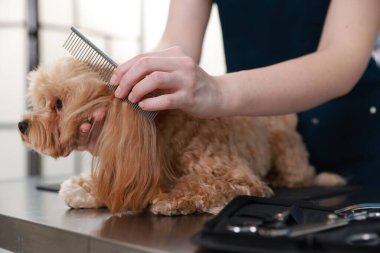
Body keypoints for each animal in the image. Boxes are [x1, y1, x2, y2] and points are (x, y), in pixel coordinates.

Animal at [18, 57, 344, 215]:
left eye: (58, 104)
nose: (22, 125)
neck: (161, 131)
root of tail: (285, 120)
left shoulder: (236, 177)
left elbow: (202, 183)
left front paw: (173, 199)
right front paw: (81, 190)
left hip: (288, 155)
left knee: (302, 175)